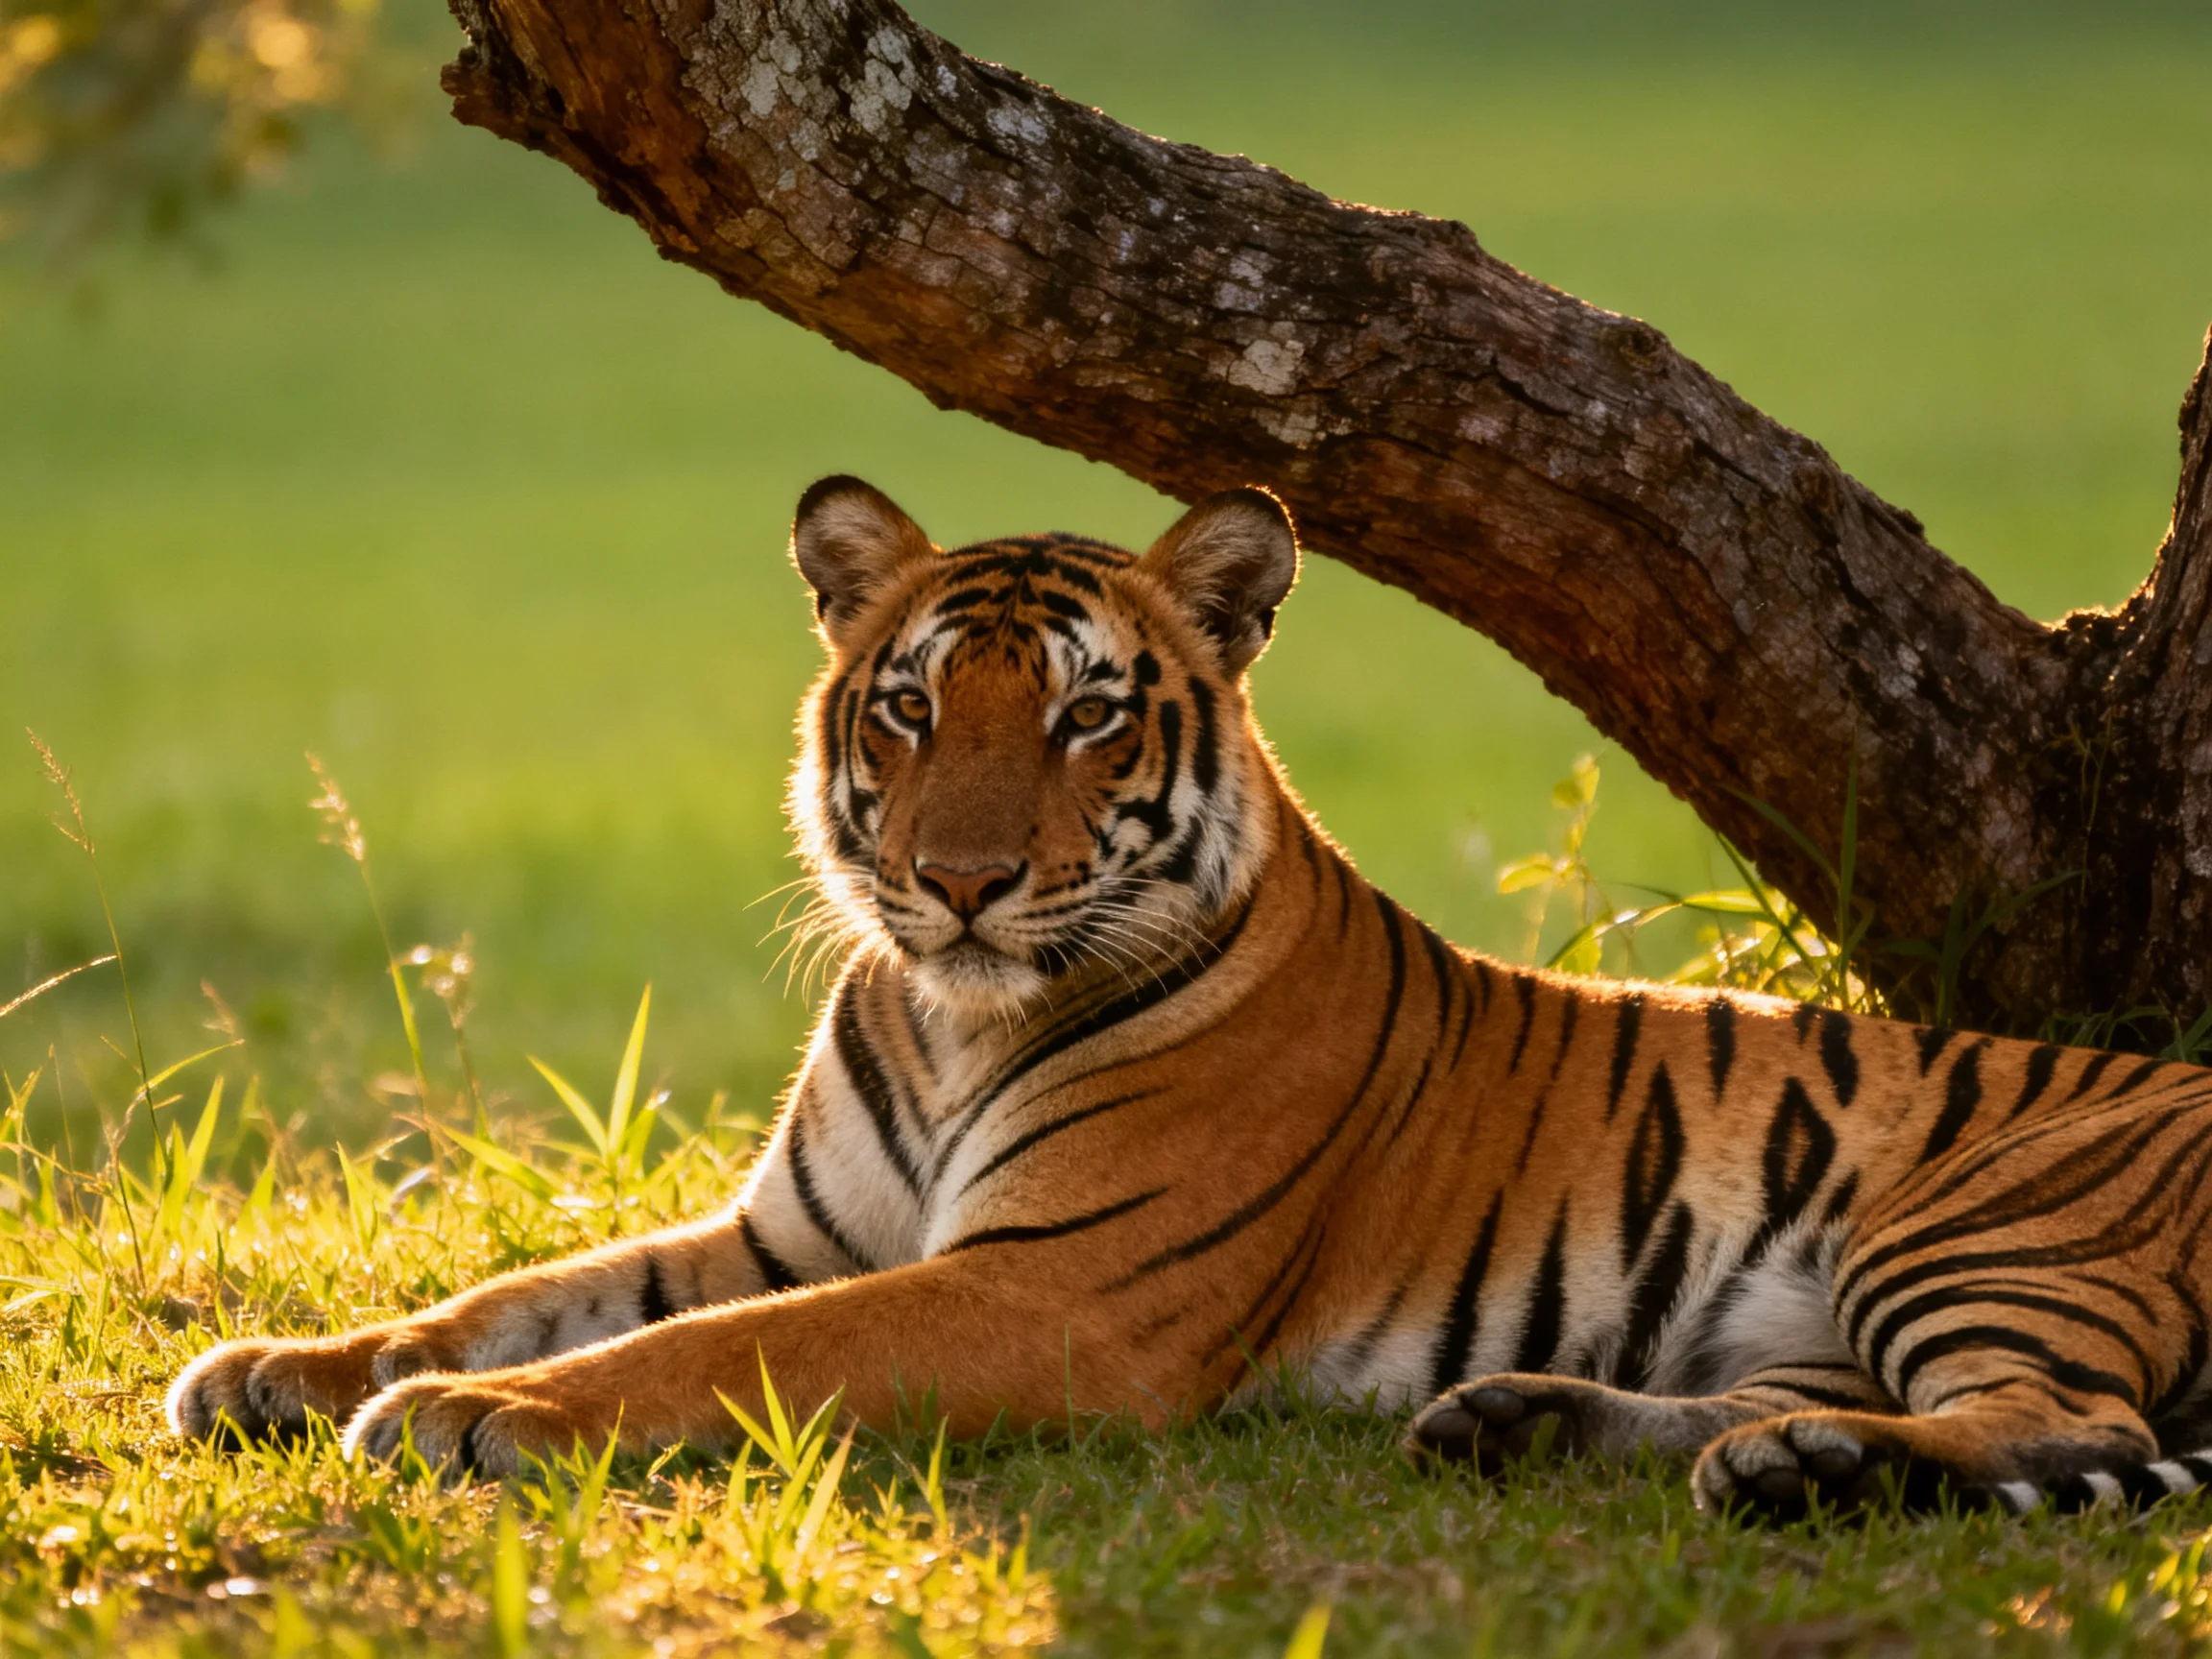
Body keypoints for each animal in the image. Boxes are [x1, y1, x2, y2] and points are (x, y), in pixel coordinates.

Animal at [169, 476, 2212, 1521]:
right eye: (907, 704)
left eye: (1086, 710)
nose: (961, 879)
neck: (949, 1017)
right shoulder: (785, 1229)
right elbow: (526, 1289)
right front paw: (288, 1366)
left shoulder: (1056, 1286)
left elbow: (705, 1355)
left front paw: (464, 1417)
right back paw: (1562, 1428)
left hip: (1978, 1229)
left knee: (2076, 1427)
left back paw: (1789, 1470)